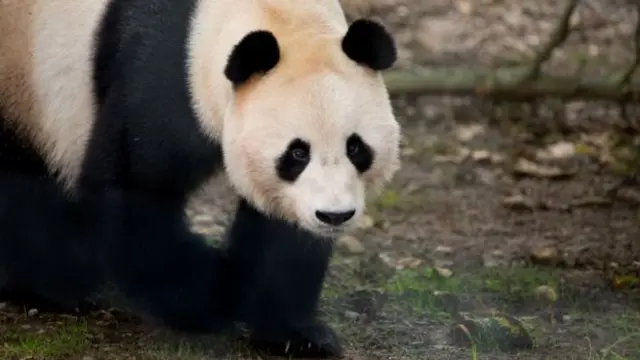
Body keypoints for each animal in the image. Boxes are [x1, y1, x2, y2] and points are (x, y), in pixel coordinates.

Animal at [0, 0, 400, 358]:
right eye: (297, 153)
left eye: (356, 147)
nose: (334, 216)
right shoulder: (161, 79)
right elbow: (136, 195)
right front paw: (224, 291)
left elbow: (284, 232)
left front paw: (295, 333)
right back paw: (54, 286)